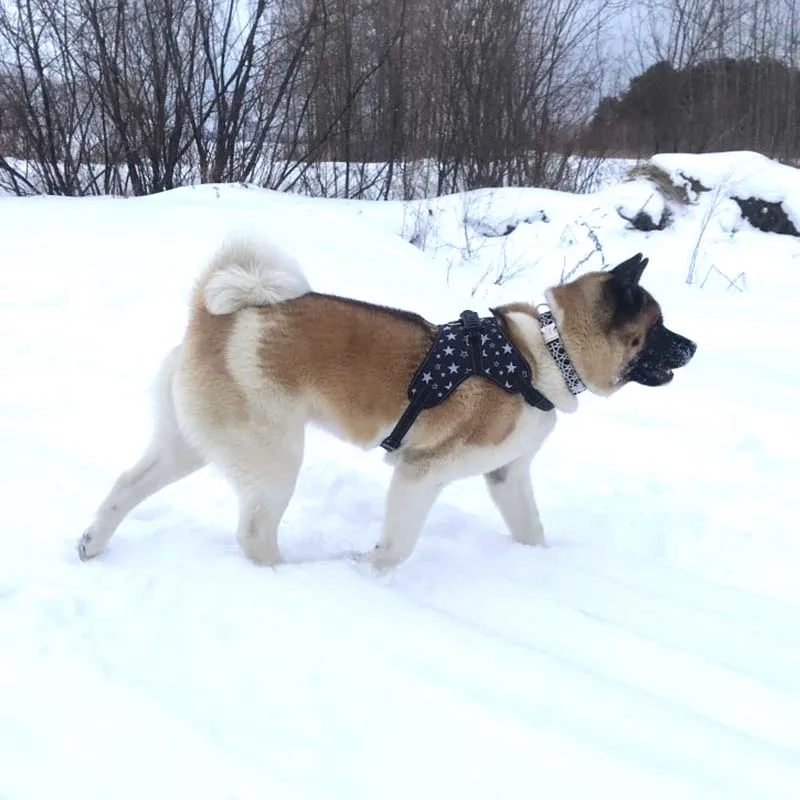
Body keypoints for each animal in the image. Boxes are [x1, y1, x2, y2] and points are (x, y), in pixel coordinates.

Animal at [78, 236, 696, 568]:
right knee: (253, 535)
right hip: (272, 458)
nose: (692, 346)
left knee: (126, 487)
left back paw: (91, 544)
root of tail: (217, 318)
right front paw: (364, 570)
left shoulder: (508, 476)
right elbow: (395, 548)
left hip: (191, 443)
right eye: (658, 327)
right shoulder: (420, 473)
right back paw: (283, 576)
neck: (548, 351)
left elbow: (532, 529)